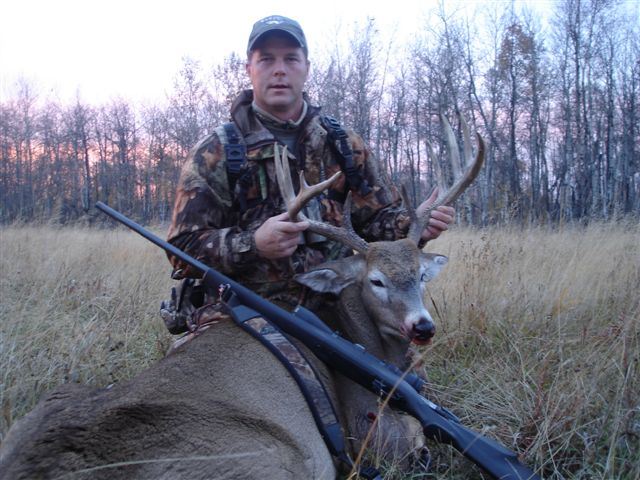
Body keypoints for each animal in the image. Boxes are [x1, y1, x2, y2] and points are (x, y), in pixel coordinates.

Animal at [0, 115, 484, 480]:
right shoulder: (374, 433)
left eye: (421, 275)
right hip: (278, 458)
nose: (422, 327)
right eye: (376, 281)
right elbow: (423, 442)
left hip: (53, 399)